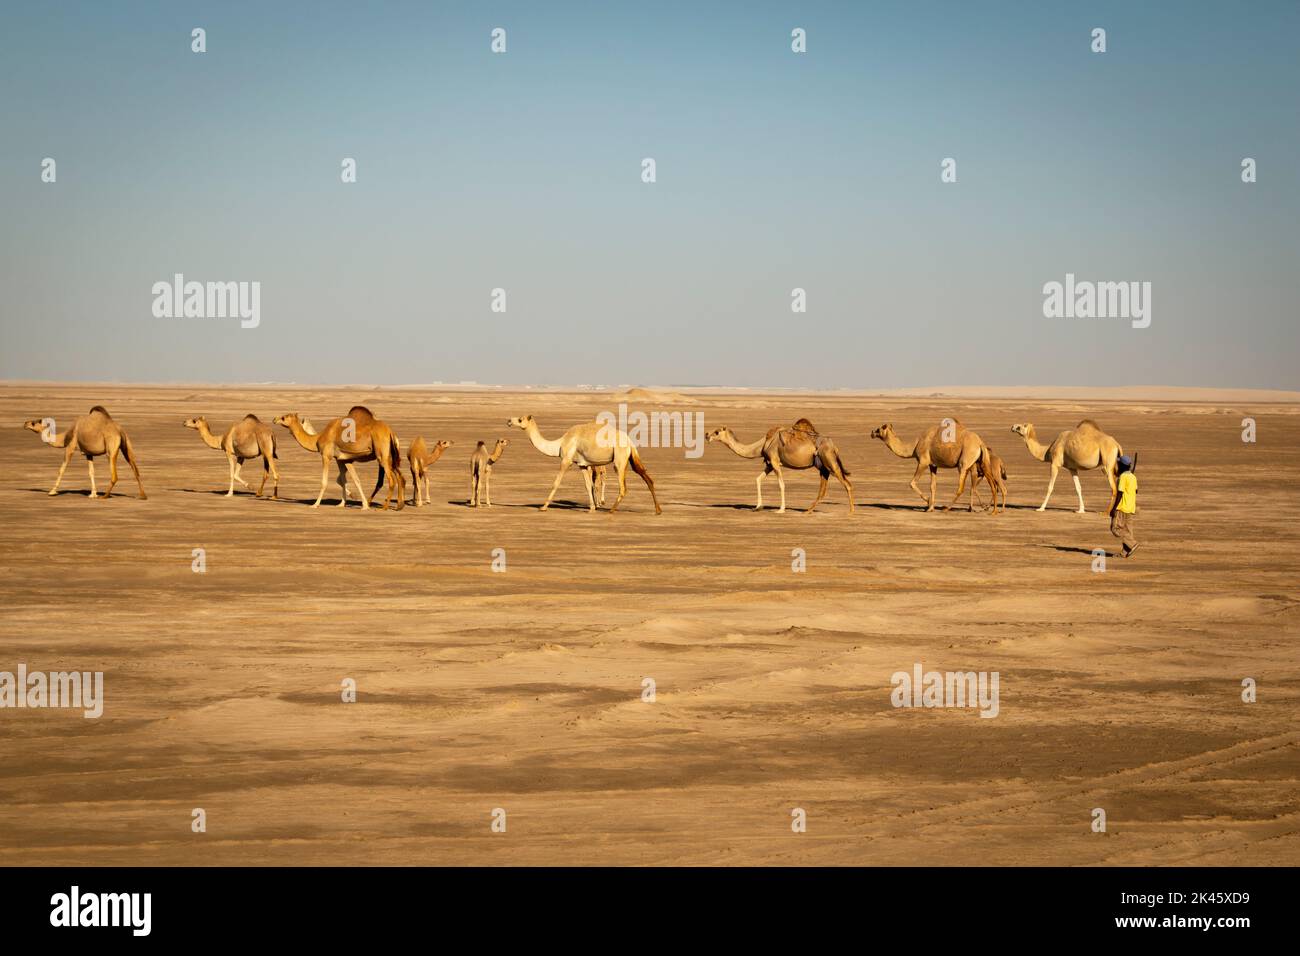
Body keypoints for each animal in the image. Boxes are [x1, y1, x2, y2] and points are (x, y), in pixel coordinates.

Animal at [504, 413, 660, 512]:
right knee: (647, 478)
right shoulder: (583, 465)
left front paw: (543, 507)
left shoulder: (566, 460)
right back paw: (658, 510)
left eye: (520, 419)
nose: (509, 421)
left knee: (623, 487)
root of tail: (629, 441)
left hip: (619, 459)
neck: (560, 443)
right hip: (631, 458)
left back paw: (611, 510)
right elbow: (587, 485)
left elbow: (556, 482)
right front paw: (592, 508)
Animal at [712, 416, 852, 512]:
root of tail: (834, 446)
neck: (762, 444)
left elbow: (781, 485)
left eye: (717, 431)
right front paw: (758, 506)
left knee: (847, 484)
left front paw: (781, 509)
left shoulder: (774, 461)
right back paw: (808, 511)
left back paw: (851, 512)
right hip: (824, 467)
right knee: (824, 489)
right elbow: (758, 479)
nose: (708, 435)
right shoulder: (769, 464)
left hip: (830, 461)